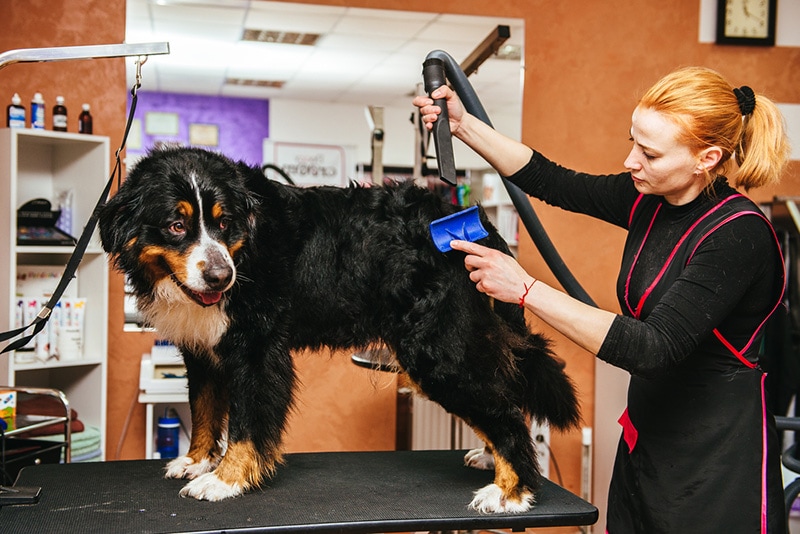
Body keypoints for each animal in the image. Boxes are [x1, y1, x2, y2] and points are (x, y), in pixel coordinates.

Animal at [100, 146, 580, 516]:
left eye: (223, 223)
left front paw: (226, 479)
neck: (246, 249)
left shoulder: (256, 348)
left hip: (436, 352)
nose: (221, 276)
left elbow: (246, 423)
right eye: (177, 225)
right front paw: (197, 460)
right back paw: (491, 459)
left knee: (506, 412)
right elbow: (203, 410)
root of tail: (471, 224)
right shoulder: (202, 350)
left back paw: (512, 490)